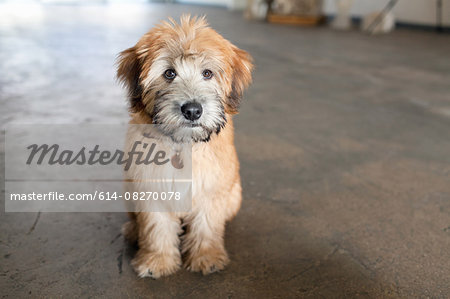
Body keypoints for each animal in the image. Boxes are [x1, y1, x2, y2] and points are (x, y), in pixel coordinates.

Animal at [117, 15, 253, 278]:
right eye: (169, 73)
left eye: (208, 73)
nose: (192, 110)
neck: (183, 144)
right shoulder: (151, 187)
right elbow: (156, 227)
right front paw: (157, 260)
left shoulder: (210, 188)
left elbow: (206, 225)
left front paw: (206, 257)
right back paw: (132, 231)